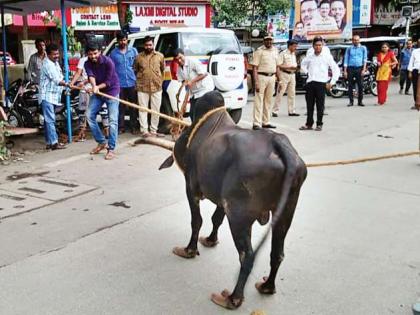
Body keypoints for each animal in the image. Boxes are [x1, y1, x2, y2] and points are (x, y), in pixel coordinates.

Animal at [159, 90, 306, 310]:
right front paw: (210, 240)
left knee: (247, 255)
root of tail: (280, 144)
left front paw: (189, 250)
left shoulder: (191, 187)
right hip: (286, 211)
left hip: (239, 216)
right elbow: (215, 219)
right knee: (277, 253)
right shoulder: (223, 201)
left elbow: (197, 221)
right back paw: (267, 287)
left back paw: (232, 298)